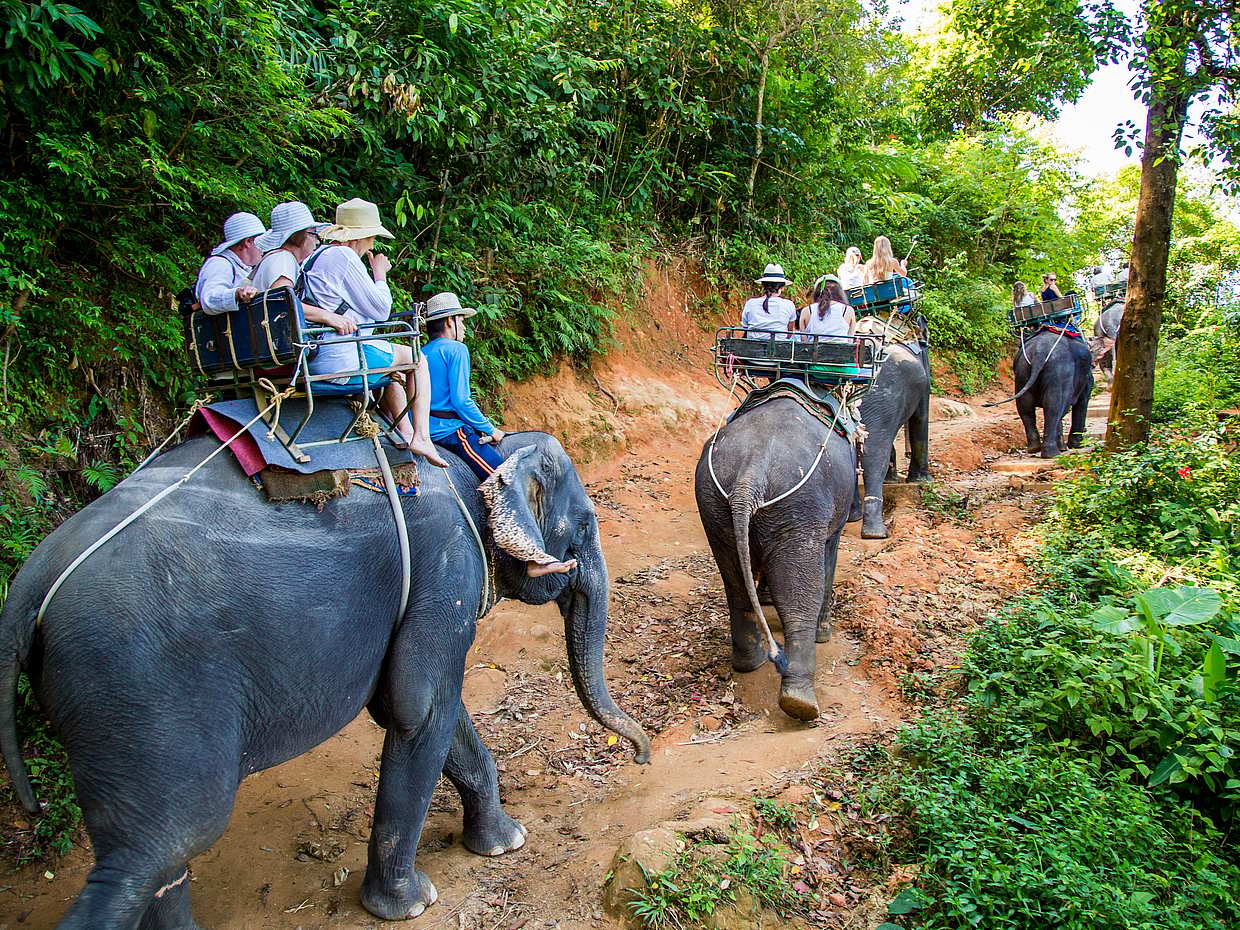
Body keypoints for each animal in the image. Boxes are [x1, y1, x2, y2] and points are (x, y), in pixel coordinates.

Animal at [0, 430, 648, 930]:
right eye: (585, 527)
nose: (639, 756)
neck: (472, 458)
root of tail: (30, 583)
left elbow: (421, 708)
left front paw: (504, 842)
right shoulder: (445, 565)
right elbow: (420, 709)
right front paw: (409, 904)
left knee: (162, 857)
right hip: (138, 688)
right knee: (161, 845)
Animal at [694, 394, 856, 721]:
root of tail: (750, 472)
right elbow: (829, 555)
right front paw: (824, 633)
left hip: (713, 507)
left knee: (735, 587)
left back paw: (750, 662)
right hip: (798, 508)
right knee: (799, 597)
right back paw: (800, 702)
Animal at [848, 333, 931, 539]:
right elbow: (921, 417)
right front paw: (922, 481)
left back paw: (857, 519)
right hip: (884, 399)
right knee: (876, 453)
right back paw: (875, 533)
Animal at [993, 328, 1094, 457]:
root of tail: (1039, 353)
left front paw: (1064, 447)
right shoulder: (1086, 379)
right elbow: (1082, 402)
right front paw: (1077, 445)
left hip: (1022, 372)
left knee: (1025, 407)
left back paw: (1034, 448)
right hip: (1058, 372)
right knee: (1055, 406)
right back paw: (1052, 453)